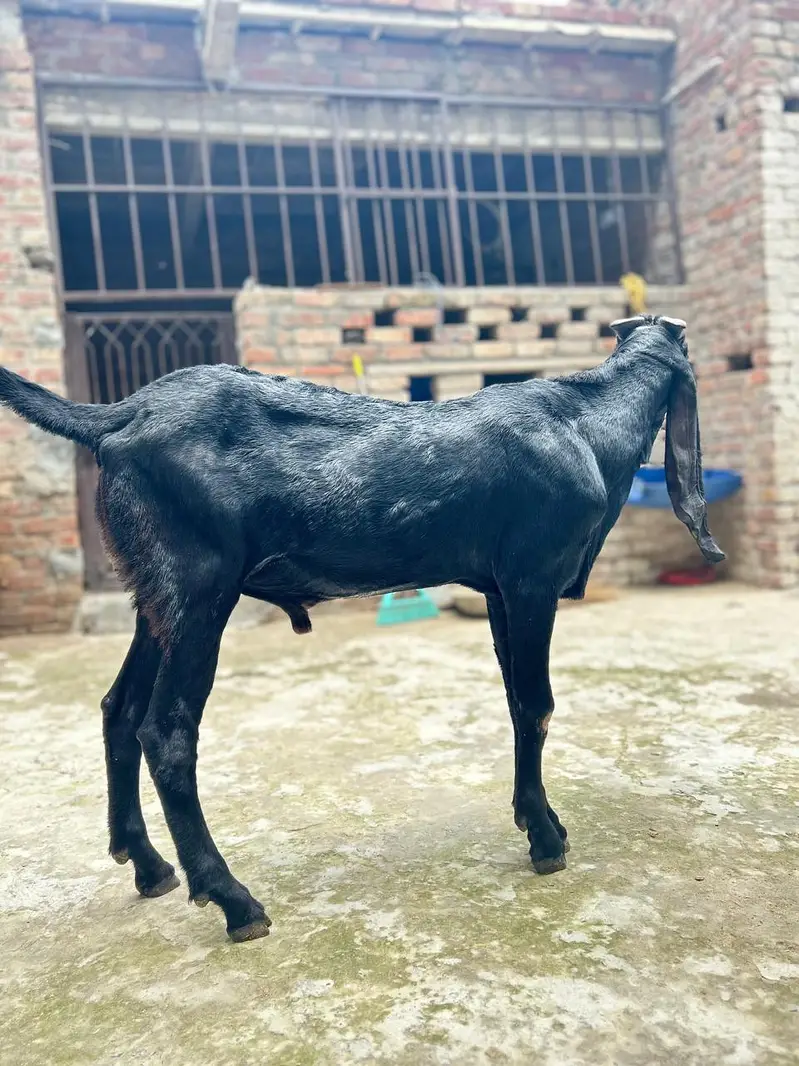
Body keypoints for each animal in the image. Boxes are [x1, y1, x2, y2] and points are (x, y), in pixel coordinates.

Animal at [0, 313, 723, 942]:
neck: (583, 423)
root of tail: (122, 415)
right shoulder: (530, 578)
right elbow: (537, 703)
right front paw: (545, 840)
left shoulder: (497, 588)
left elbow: (517, 703)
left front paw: (537, 819)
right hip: (199, 587)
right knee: (166, 730)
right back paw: (233, 900)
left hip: (157, 594)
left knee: (119, 708)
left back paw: (149, 866)